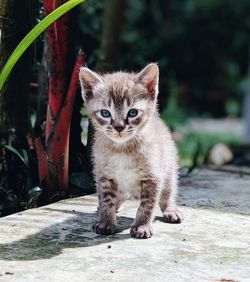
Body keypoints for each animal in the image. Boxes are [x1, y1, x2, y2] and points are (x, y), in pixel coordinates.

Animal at [79, 63, 183, 238]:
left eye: (132, 112)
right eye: (105, 113)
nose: (119, 127)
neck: (122, 149)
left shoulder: (153, 177)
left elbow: (147, 204)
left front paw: (141, 225)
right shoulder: (104, 175)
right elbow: (105, 199)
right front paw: (106, 221)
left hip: (168, 170)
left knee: (167, 192)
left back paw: (170, 210)